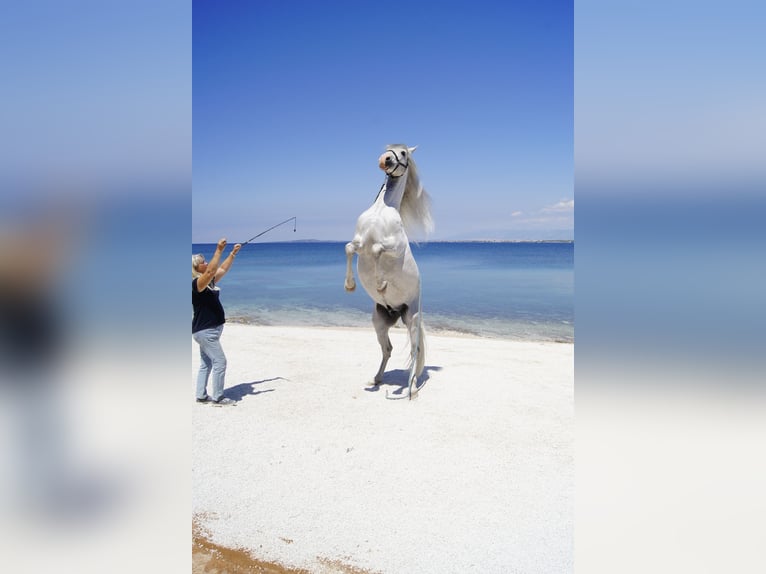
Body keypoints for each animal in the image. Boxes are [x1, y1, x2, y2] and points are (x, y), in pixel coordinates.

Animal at [344, 144, 433, 398]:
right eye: (389, 149)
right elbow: (349, 249)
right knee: (388, 349)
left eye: (403, 153)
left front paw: (381, 284)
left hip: (412, 319)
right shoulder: (358, 242)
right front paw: (350, 286)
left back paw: (412, 389)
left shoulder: (393, 247)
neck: (381, 210)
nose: (384, 160)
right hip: (380, 322)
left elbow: (377, 250)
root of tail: (397, 311)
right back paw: (376, 379)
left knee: (414, 351)